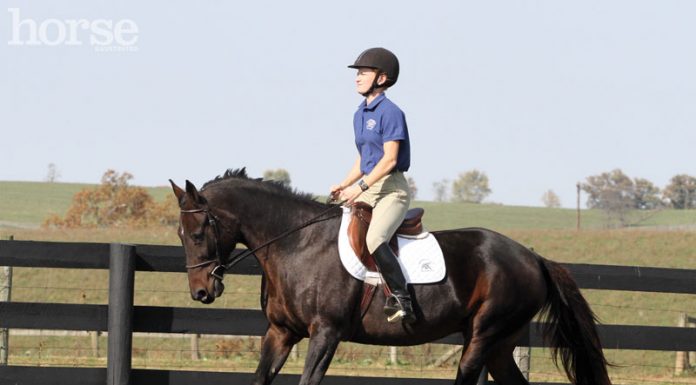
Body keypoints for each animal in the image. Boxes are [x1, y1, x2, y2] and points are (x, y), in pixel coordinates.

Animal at [169, 168, 608, 384]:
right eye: (180, 235)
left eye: (198, 233)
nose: (201, 292)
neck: (296, 243)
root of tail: (532, 257)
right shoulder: (280, 332)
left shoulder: (326, 333)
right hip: (500, 344)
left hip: (484, 335)